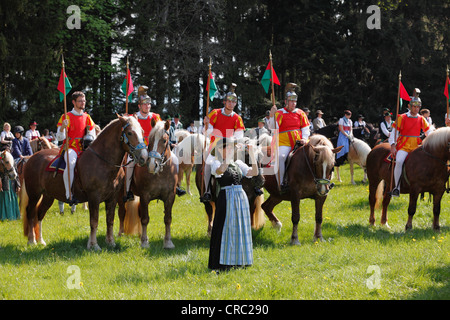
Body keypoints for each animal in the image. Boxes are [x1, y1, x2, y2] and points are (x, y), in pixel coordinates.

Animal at [19, 114, 148, 249]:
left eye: (142, 132)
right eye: (130, 133)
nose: (144, 157)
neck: (103, 161)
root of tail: (31, 158)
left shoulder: (112, 198)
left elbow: (110, 220)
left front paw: (111, 242)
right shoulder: (94, 197)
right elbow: (94, 221)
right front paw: (94, 245)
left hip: (48, 196)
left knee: (40, 213)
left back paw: (41, 240)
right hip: (34, 194)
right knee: (30, 213)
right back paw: (31, 240)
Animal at [118, 119, 180, 249]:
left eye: (164, 140)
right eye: (150, 140)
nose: (152, 165)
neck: (160, 173)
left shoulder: (170, 197)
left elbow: (168, 219)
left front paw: (168, 242)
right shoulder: (145, 196)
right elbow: (145, 219)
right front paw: (145, 242)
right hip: (120, 195)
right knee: (122, 212)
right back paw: (121, 233)